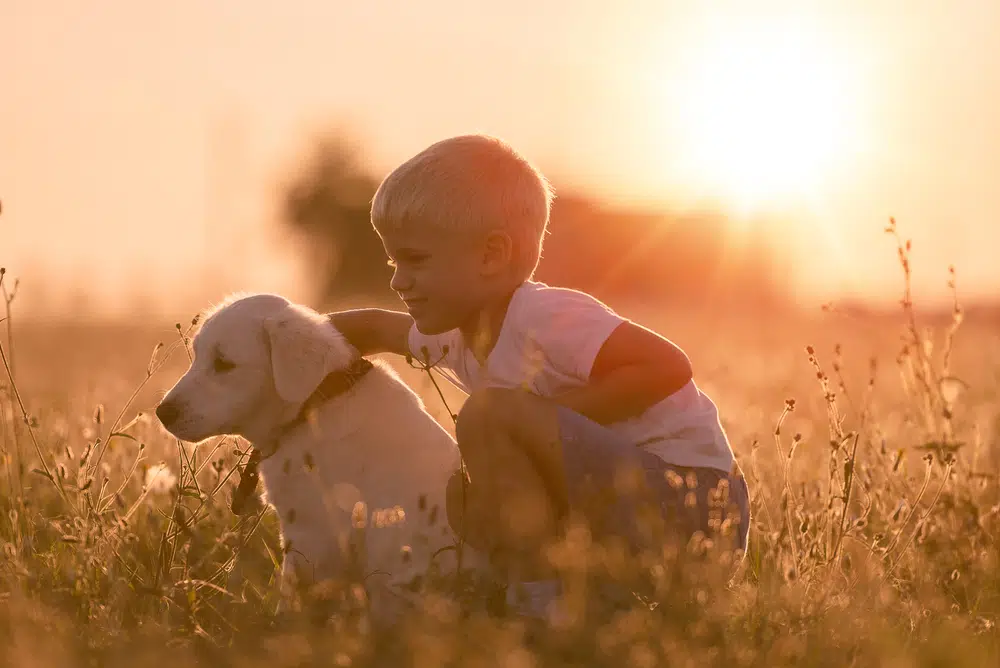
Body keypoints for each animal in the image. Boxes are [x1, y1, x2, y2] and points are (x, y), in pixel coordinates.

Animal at [154, 294, 486, 624]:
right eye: (196, 357)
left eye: (224, 363)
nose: (162, 412)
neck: (313, 405)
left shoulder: (313, 536)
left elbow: (294, 597)